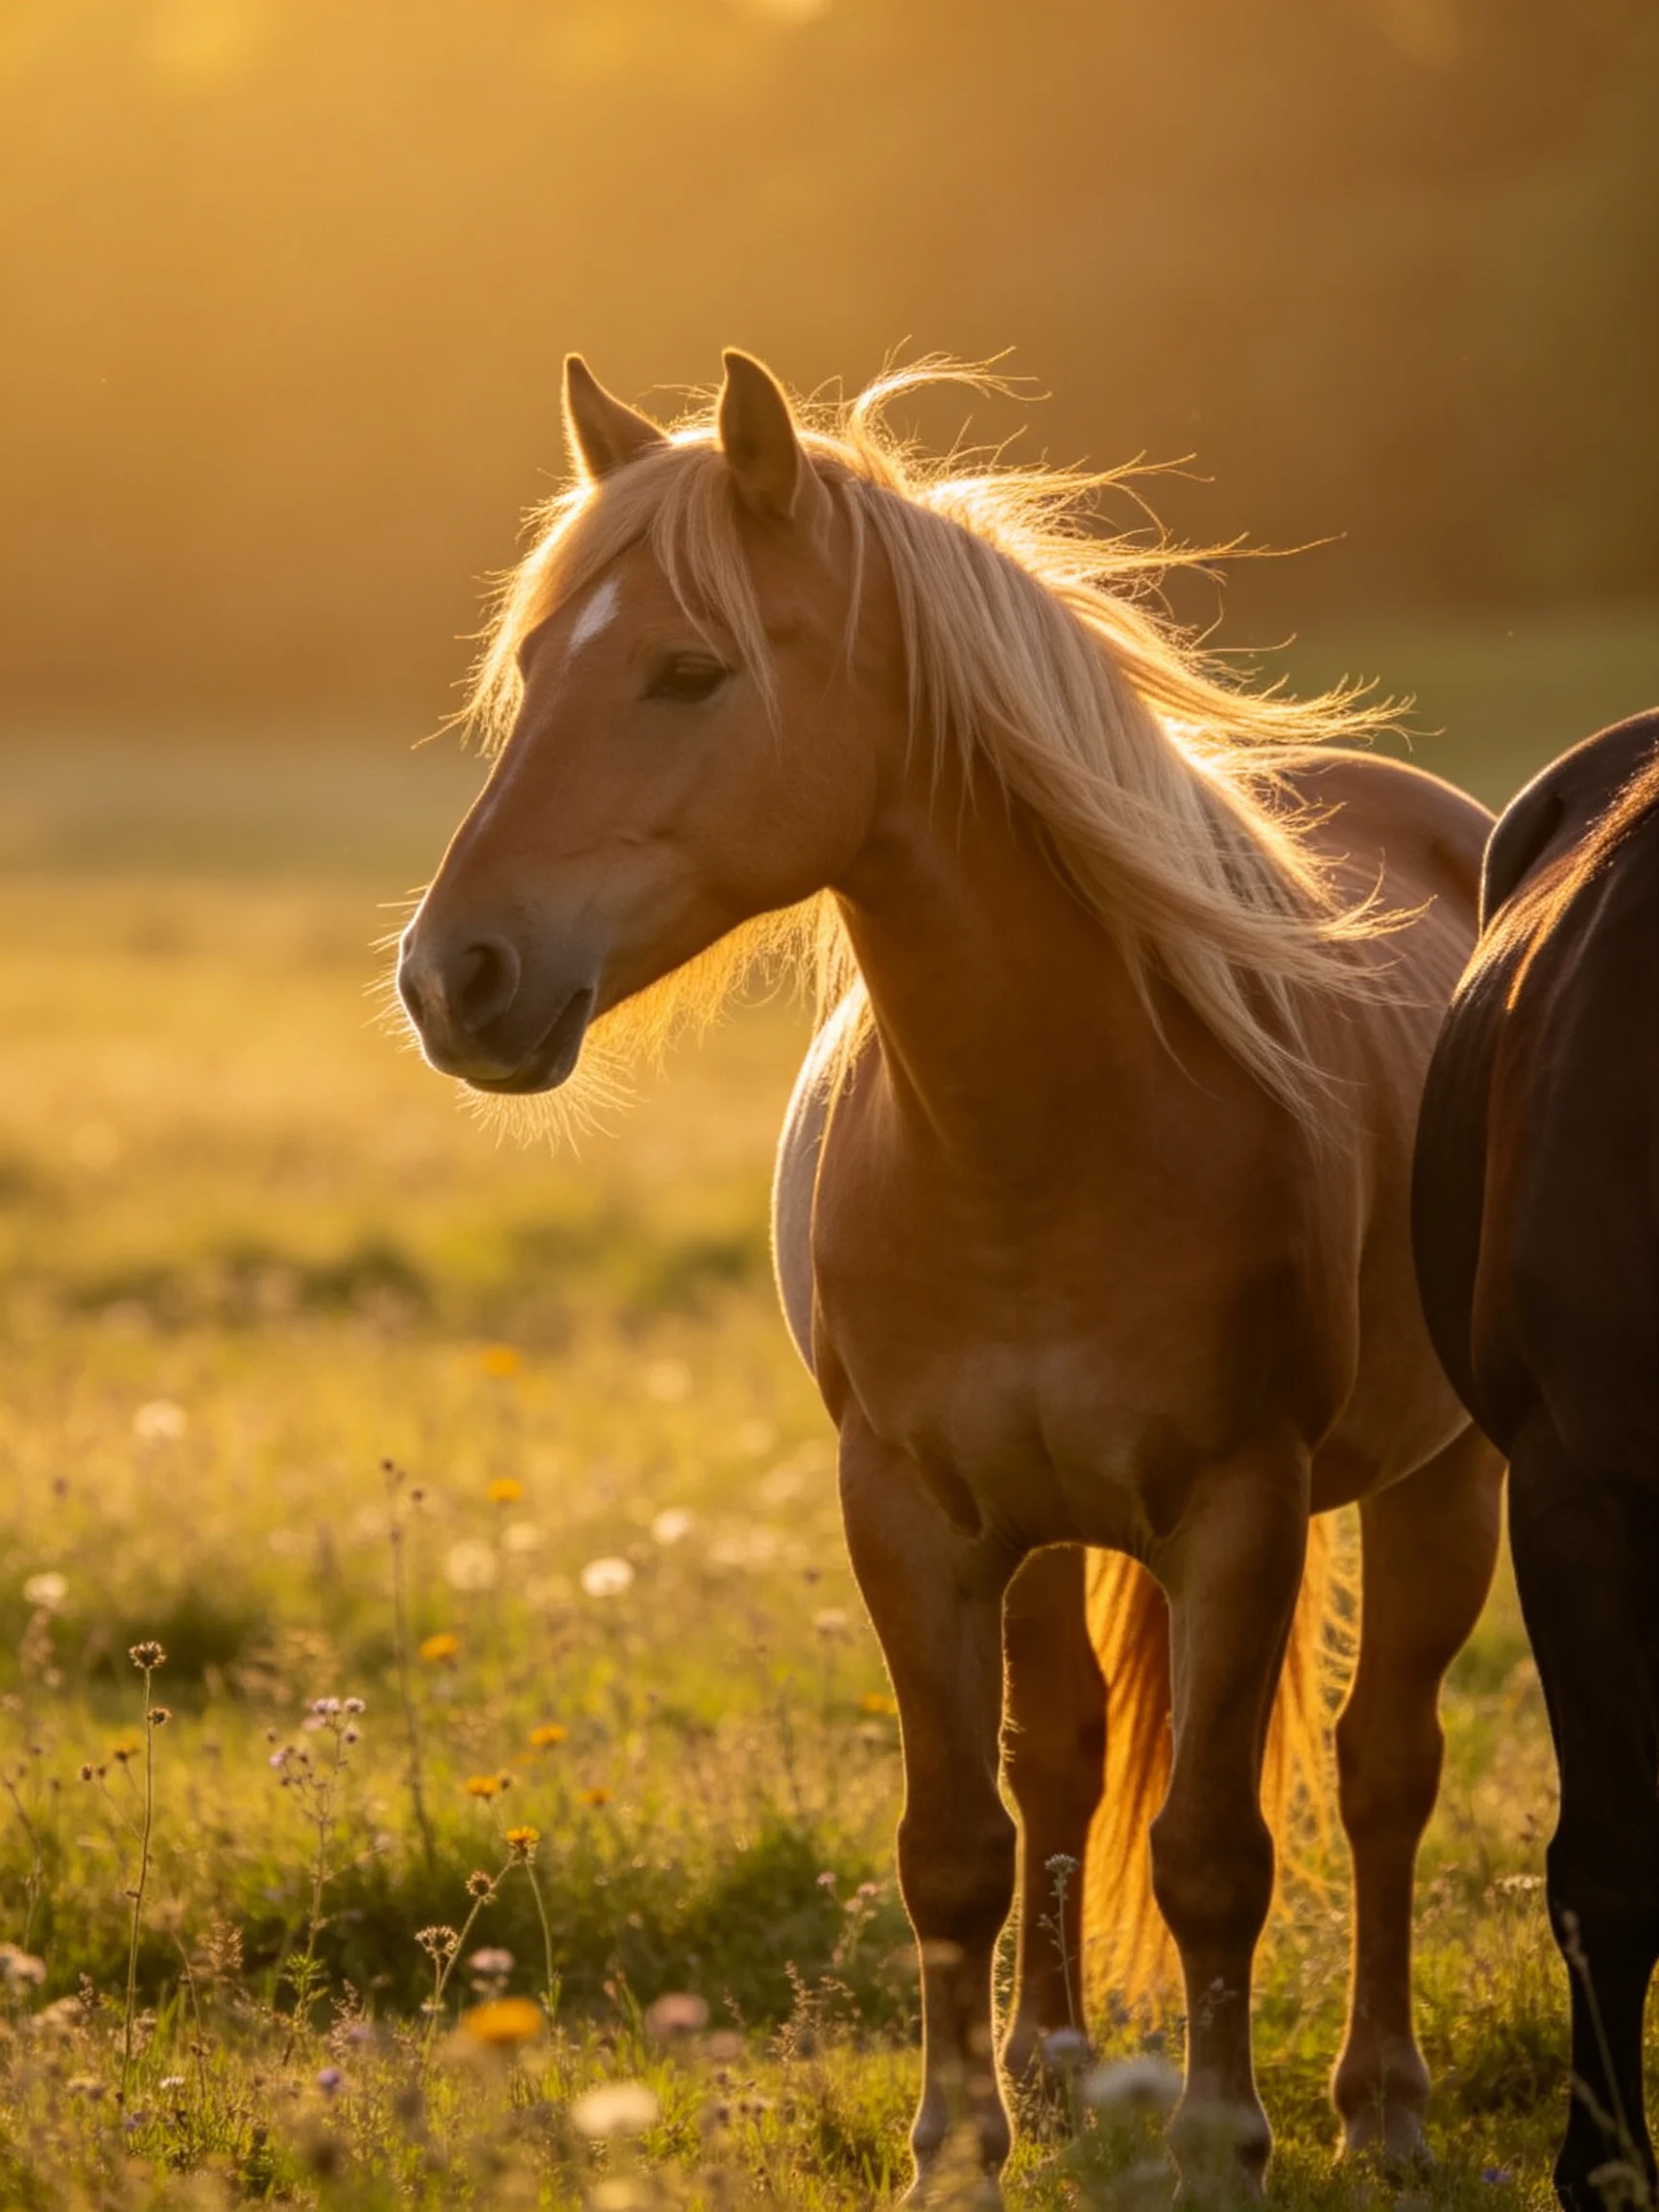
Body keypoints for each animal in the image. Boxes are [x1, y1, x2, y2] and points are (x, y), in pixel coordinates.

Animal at [396, 349, 1505, 2197]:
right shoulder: (909, 1508)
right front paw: (955, 2142)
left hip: (1446, 1477)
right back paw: (1053, 2064)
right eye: (536, 665)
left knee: (1381, 1770)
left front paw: (1223, 2137)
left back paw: (1382, 2100)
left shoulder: (1243, 1504)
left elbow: (1213, 1847)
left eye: (688, 669)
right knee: (1060, 1759)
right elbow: (954, 1842)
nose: (449, 976)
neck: (1041, 1134)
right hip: (1045, 1526)